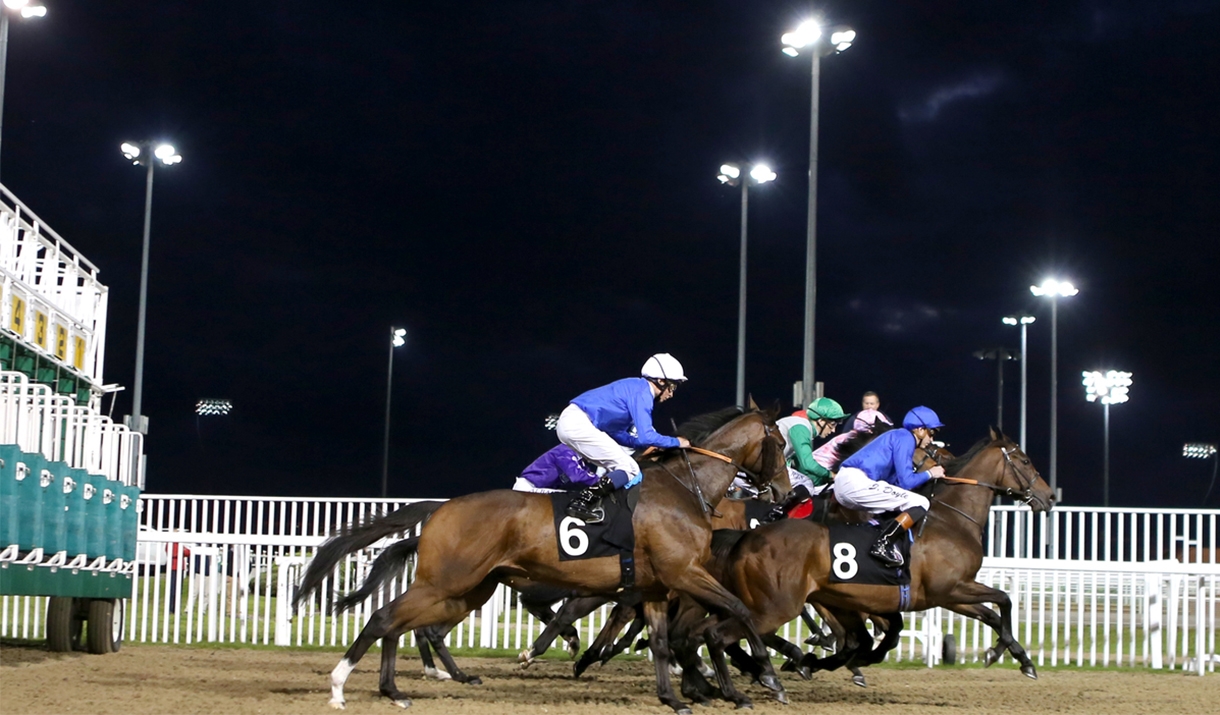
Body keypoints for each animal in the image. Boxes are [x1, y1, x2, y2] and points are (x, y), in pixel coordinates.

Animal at [319, 402, 785, 707]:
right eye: (780, 443)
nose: (782, 492)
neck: (684, 488)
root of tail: (441, 508)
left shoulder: (655, 586)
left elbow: (659, 641)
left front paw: (674, 698)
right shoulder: (684, 573)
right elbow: (740, 610)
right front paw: (766, 678)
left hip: (467, 590)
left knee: (406, 626)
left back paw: (398, 688)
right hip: (445, 582)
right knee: (386, 619)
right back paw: (341, 687)